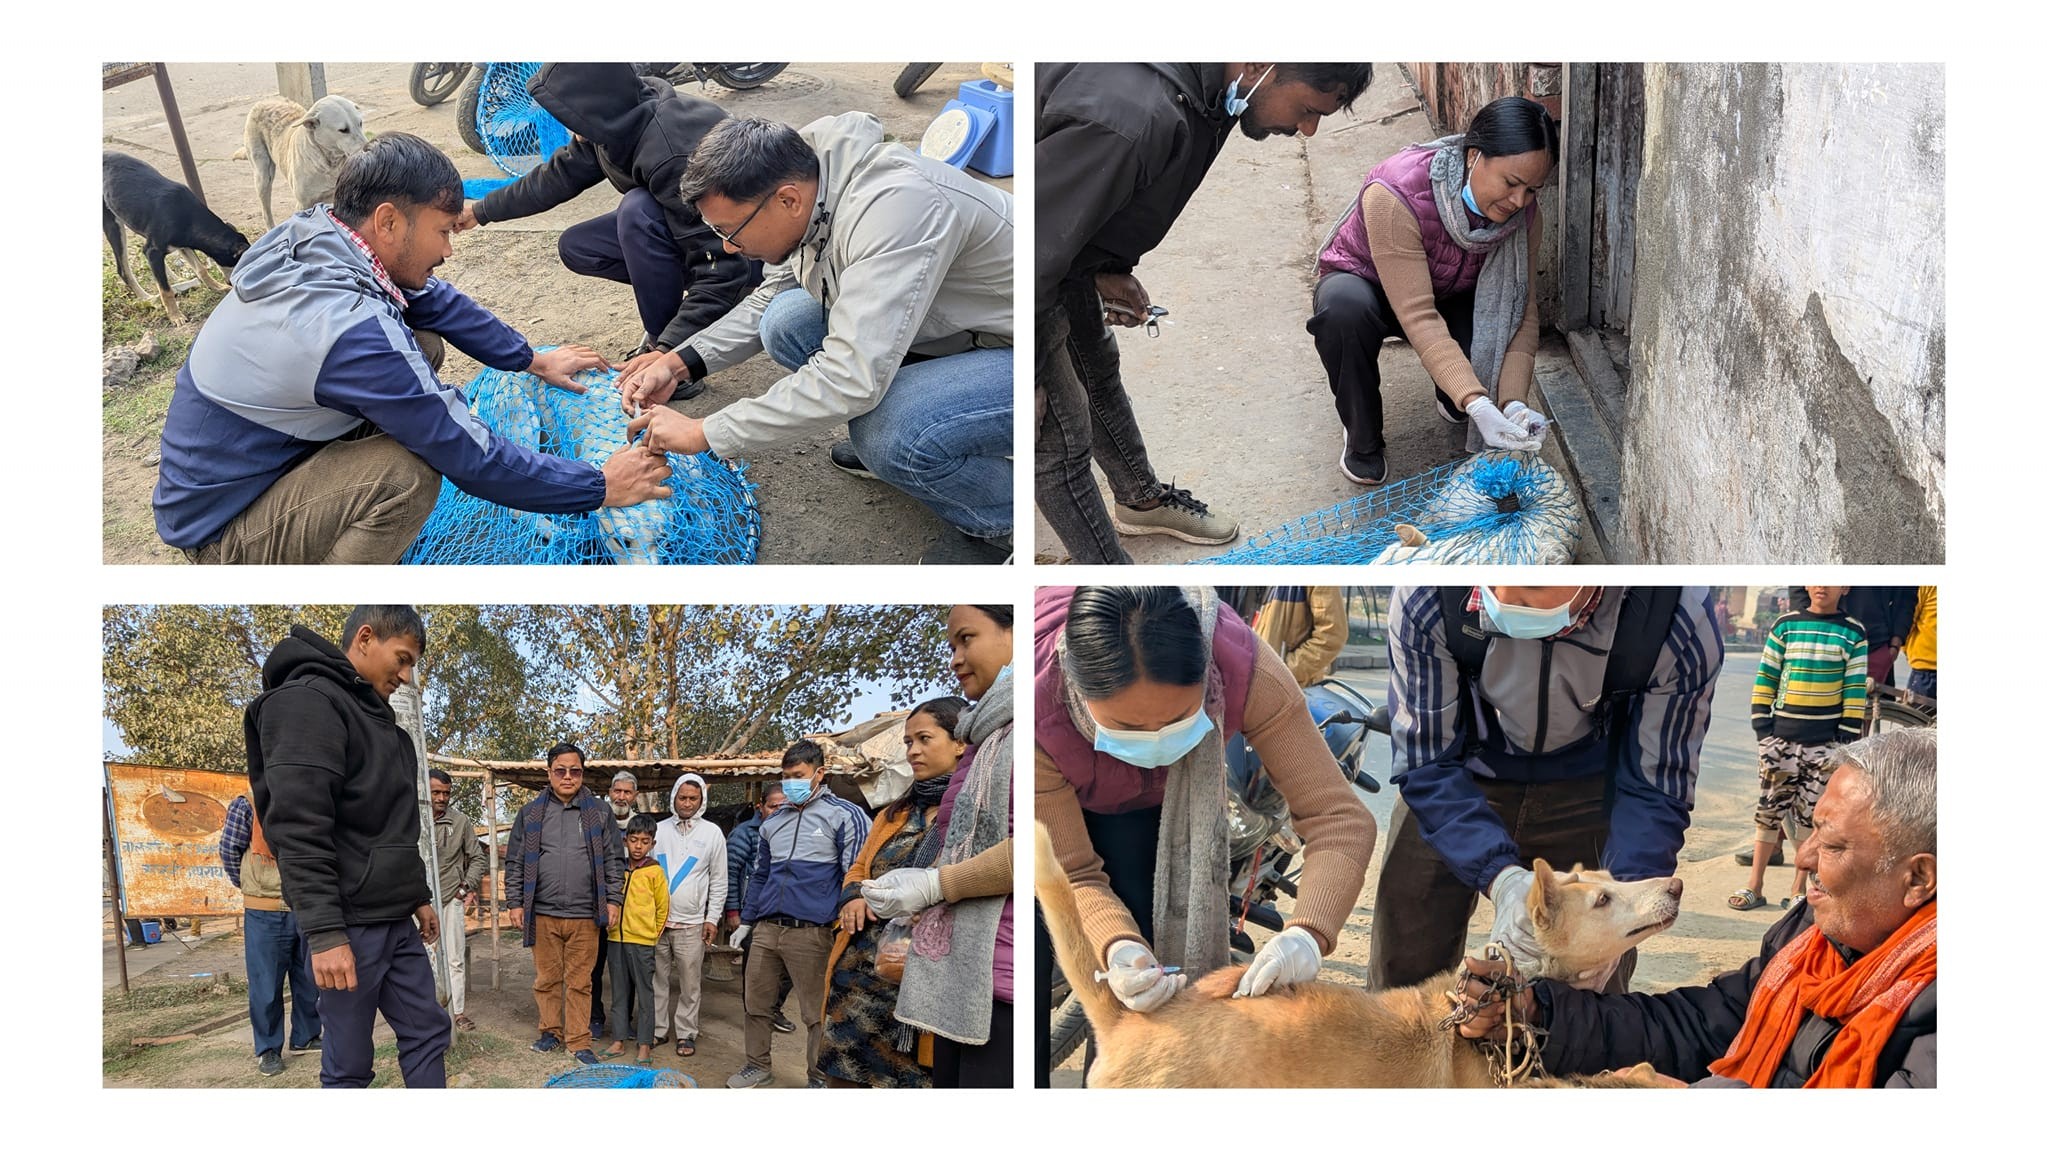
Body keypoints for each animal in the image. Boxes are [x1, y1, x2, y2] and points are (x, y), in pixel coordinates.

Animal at [103, 152, 249, 323]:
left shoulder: (183, 243)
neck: (189, 216)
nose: (232, 285)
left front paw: (216, 287)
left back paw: (175, 279)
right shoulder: (154, 251)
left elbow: (201, 269)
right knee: (123, 270)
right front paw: (175, 316)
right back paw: (148, 298)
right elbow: (165, 290)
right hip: (114, 226)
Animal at [235, 96, 368, 228]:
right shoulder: (303, 205)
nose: (368, 148)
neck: (330, 164)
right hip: (263, 177)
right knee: (266, 212)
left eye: (360, 123)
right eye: (343, 130)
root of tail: (265, 100)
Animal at [399, 354, 761, 561]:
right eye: (620, 541)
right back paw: (560, 532)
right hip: (522, 420)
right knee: (517, 506)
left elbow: (703, 513)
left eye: (662, 540)